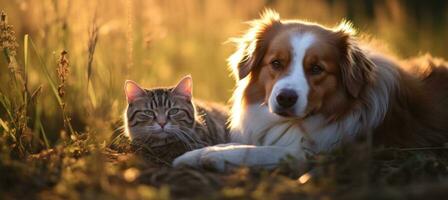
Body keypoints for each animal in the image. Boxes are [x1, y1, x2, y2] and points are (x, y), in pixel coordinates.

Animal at [173, 9, 448, 172]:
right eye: (276, 63)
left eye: (316, 68)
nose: (285, 98)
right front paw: (193, 155)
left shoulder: (318, 154)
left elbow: (254, 151)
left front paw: (211, 156)